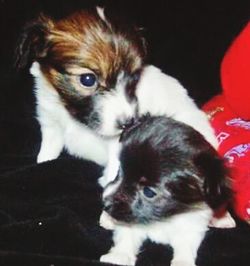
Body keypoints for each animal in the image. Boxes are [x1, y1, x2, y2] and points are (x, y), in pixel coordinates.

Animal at [14, 6, 218, 166]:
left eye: (135, 77)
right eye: (87, 79)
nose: (129, 123)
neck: (72, 116)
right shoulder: (50, 124)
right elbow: (46, 156)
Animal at [100, 116, 232, 266]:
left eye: (148, 192)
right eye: (120, 172)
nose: (106, 203)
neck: (165, 217)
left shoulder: (192, 225)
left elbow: (186, 246)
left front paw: (183, 261)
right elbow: (126, 235)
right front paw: (119, 255)